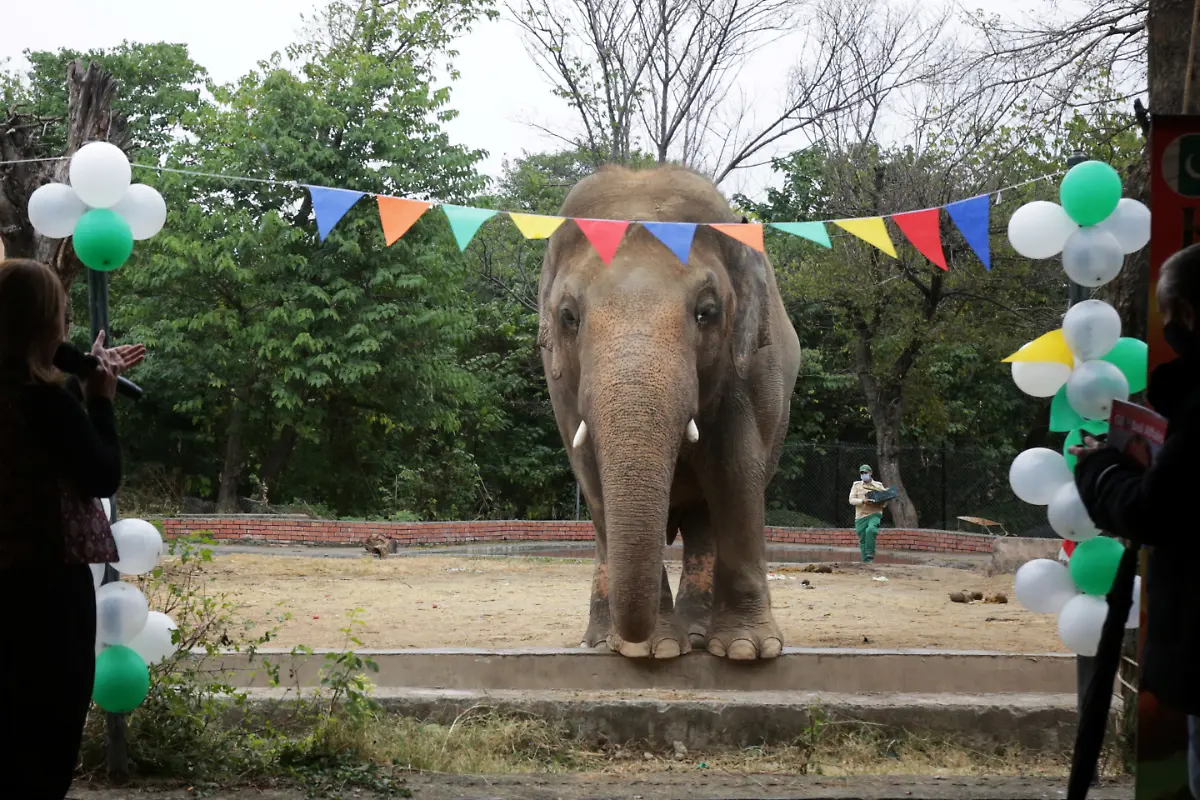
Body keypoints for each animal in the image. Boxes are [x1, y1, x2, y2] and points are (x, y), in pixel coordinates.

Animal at [537, 164, 802, 661]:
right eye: (568, 316)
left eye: (707, 312)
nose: (635, 638)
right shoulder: (559, 383)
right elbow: (590, 475)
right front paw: (650, 651)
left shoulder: (752, 367)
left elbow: (736, 468)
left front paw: (746, 650)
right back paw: (601, 641)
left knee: (704, 520)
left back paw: (698, 635)